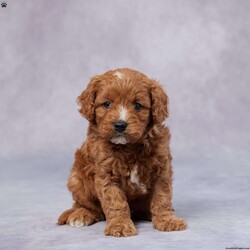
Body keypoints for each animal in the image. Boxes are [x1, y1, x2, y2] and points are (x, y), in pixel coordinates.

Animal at [57, 68, 187, 236]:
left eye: (138, 106)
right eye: (106, 104)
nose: (120, 125)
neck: (129, 147)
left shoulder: (161, 168)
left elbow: (162, 197)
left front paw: (167, 219)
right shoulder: (107, 174)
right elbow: (115, 201)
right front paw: (119, 225)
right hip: (76, 181)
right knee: (88, 207)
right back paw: (81, 214)